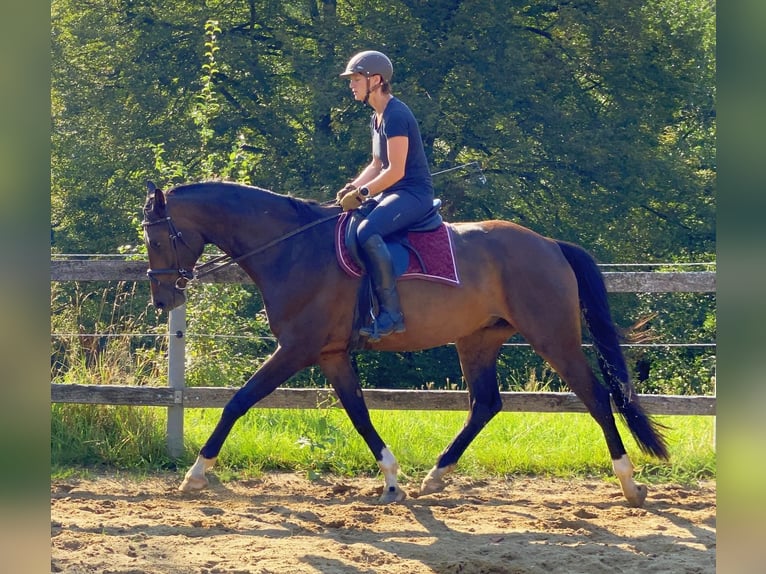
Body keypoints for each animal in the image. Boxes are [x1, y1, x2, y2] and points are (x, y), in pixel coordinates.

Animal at [141, 180, 668, 508]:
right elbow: (358, 412)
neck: (292, 248)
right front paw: (393, 480)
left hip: (552, 335)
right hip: (478, 340)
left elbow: (238, 402)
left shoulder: (296, 349)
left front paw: (196, 473)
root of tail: (550, 244)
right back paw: (436, 475)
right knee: (485, 404)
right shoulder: (331, 354)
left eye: (158, 239)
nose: (163, 298)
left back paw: (629, 484)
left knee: (596, 397)